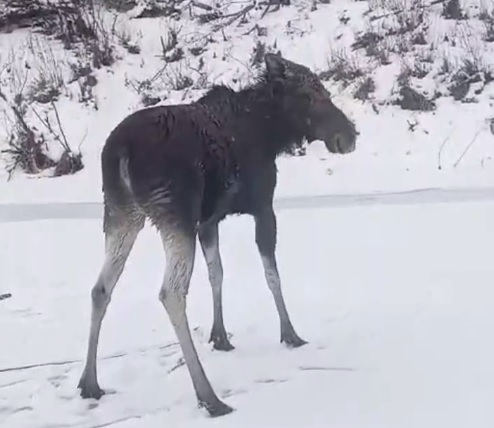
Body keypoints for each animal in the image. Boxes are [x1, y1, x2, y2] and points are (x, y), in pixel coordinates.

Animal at [77, 51, 356, 416]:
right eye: (310, 94)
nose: (349, 135)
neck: (270, 132)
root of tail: (120, 151)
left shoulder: (208, 221)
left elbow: (217, 273)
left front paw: (220, 336)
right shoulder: (263, 207)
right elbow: (272, 275)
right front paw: (290, 333)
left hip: (121, 213)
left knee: (100, 288)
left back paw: (89, 382)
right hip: (173, 215)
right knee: (170, 293)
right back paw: (209, 396)